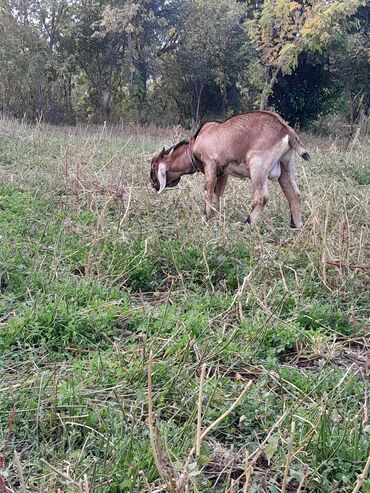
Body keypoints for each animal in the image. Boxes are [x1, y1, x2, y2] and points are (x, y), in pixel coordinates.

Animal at [150, 110, 310, 227]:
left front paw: (206, 217)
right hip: (286, 166)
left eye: (154, 166)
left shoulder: (210, 164)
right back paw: (296, 227)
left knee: (262, 197)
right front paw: (218, 216)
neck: (194, 144)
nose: (153, 184)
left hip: (258, 166)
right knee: (294, 195)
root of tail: (286, 130)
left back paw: (246, 225)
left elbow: (208, 191)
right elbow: (219, 193)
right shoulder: (223, 172)